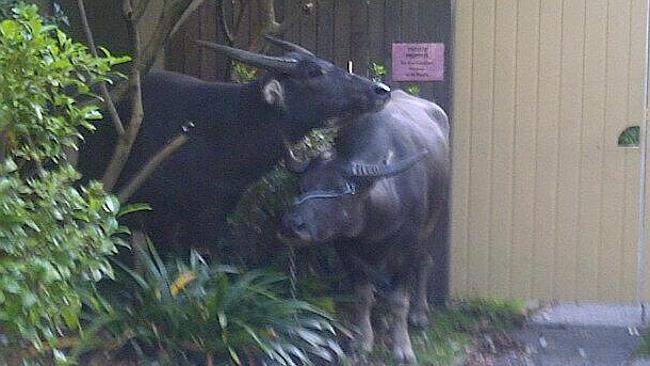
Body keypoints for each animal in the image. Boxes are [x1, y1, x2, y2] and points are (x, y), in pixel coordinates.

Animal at [280, 91, 448, 364]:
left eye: (340, 188)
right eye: (302, 186)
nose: (291, 226)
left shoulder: (408, 247)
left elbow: (399, 300)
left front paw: (403, 349)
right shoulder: (345, 250)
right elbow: (362, 297)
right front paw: (361, 343)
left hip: (433, 222)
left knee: (425, 262)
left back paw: (419, 313)